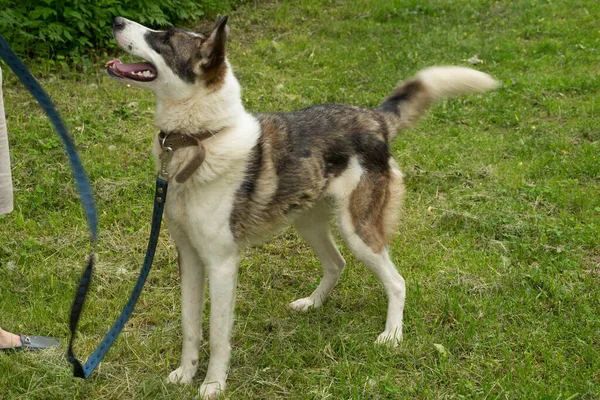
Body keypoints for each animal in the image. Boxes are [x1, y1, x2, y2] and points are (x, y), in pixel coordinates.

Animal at [106, 14, 496, 396]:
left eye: (164, 39)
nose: (117, 21)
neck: (202, 138)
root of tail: (373, 117)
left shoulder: (221, 264)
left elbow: (217, 336)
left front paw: (213, 385)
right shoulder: (188, 256)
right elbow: (190, 326)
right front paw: (185, 375)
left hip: (357, 230)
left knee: (397, 281)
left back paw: (392, 335)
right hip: (306, 223)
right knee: (337, 263)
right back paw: (312, 303)